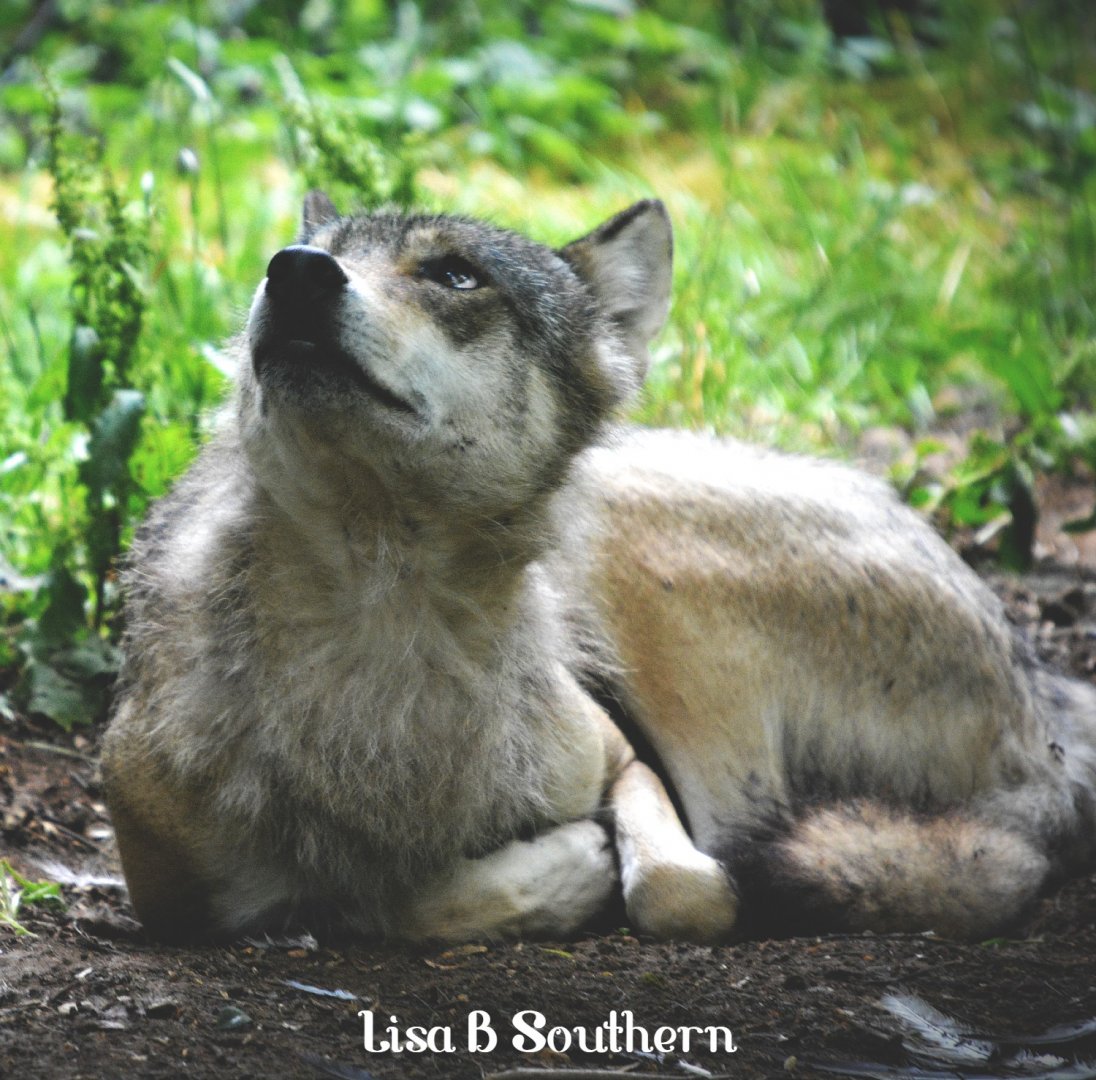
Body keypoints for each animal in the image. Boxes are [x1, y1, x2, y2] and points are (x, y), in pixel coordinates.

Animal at [101, 194, 1096, 944]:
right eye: (320, 252)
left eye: (455, 275)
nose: (295, 269)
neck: (383, 625)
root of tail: (1039, 686)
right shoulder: (175, 898)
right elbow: (380, 897)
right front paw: (554, 875)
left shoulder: (623, 758)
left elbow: (680, 888)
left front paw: (585, 873)